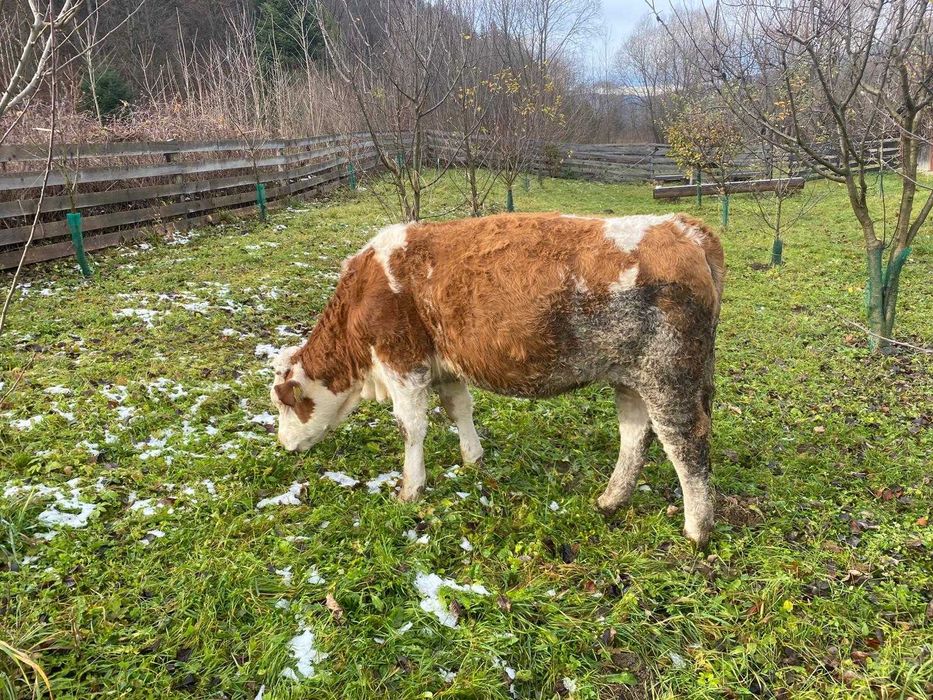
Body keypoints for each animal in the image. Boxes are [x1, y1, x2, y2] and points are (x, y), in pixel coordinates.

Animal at [270, 212, 724, 545]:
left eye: (283, 404)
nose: (284, 445)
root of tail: (681, 226)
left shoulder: (402, 359)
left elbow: (411, 427)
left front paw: (410, 490)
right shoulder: (444, 365)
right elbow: (459, 409)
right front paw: (473, 458)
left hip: (669, 375)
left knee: (685, 444)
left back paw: (697, 530)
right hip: (631, 378)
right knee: (635, 434)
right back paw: (611, 500)